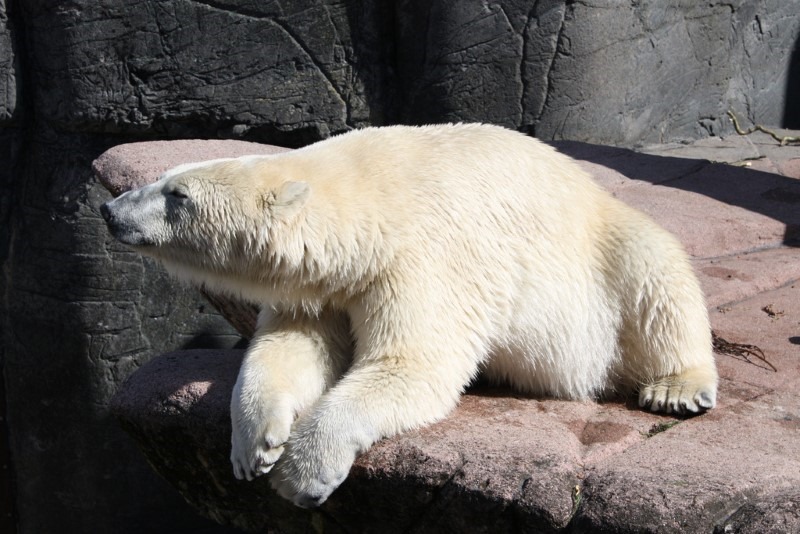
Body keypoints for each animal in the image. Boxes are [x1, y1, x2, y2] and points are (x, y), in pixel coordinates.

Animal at [100, 123, 718, 508]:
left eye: (177, 194)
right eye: (165, 179)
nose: (110, 209)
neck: (368, 205)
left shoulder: (423, 258)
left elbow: (410, 364)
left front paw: (304, 476)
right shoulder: (321, 284)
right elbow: (291, 347)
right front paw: (255, 446)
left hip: (603, 248)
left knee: (656, 275)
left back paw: (677, 388)